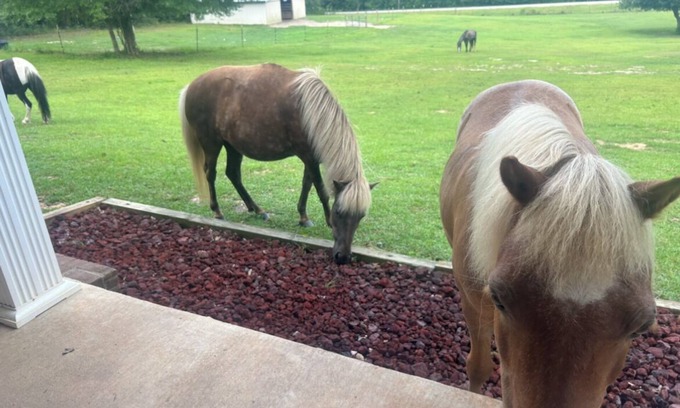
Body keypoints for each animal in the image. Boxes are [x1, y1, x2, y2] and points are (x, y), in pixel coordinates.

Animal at [179, 63, 375, 265]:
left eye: (361, 216)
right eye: (339, 213)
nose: (343, 257)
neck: (313, 114)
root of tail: (191, 86)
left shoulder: (310, 159)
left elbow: (307, 185)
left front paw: (303, 217)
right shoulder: (309, 158)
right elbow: (321, 191)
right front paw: (326, 221)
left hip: (232, 145)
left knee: (233, 174)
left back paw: (257, 210)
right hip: (212, 143)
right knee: (211, 174)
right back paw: (217, 211)